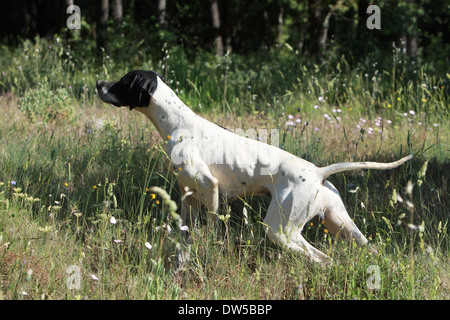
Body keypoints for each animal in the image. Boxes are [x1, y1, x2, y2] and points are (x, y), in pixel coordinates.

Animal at [96, 71, 414, 264]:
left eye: (124, 80)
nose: (98, 84)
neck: (178, 123)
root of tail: (318, 173)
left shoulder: (210, 187)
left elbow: (213, 228)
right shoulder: (188, 195)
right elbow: (185, 233)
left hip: (280, 229)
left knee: (319, 257)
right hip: (341, 225)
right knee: (353, 251)